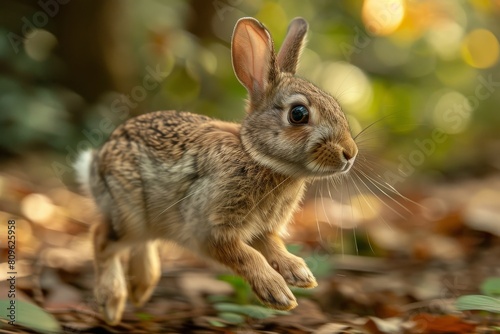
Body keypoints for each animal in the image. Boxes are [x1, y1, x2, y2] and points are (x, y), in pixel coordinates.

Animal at [74, 17, 358, 324]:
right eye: (298, 114)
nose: (350, 153)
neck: (256, 157)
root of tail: (95, 162)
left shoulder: (262, 229)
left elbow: (273, 247)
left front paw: (300, 273)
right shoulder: (210, 227)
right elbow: (246, 255)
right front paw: (277, 292)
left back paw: (142, 287)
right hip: (129, 213)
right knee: (101, 238)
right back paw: (113, 303)